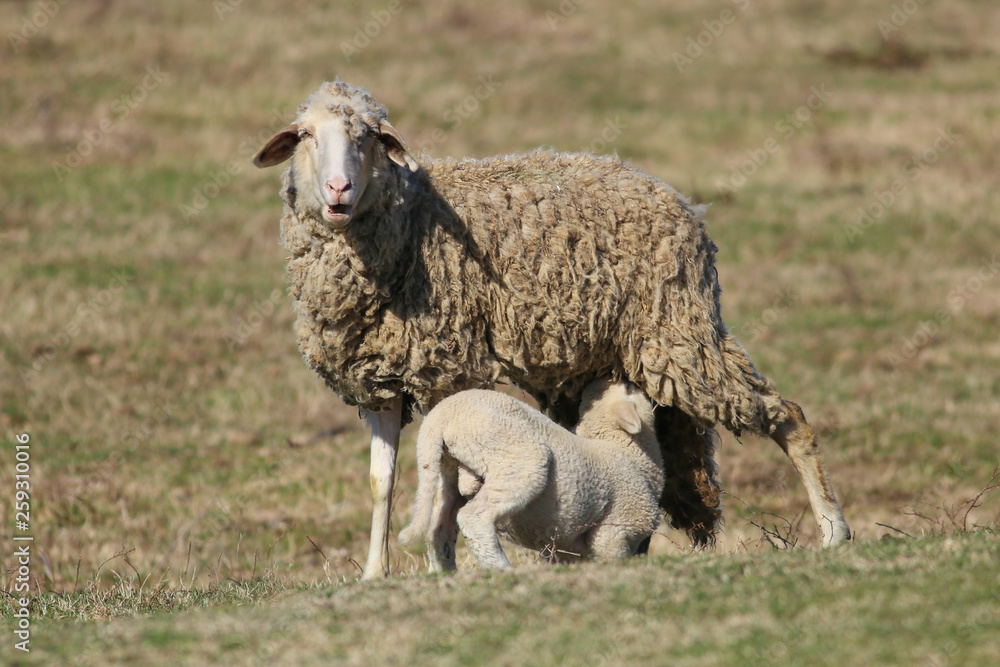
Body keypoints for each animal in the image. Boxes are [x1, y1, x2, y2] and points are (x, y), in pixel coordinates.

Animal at [398, 379, 663, 571]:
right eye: (629, 388)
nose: (624, 378)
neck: (629, 453)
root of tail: (440, 416)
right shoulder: (615, 531)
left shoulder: (567, 549)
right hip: (517, 458)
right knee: (474, 517)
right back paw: (502, 569)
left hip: (447, 473)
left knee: (439, 532)